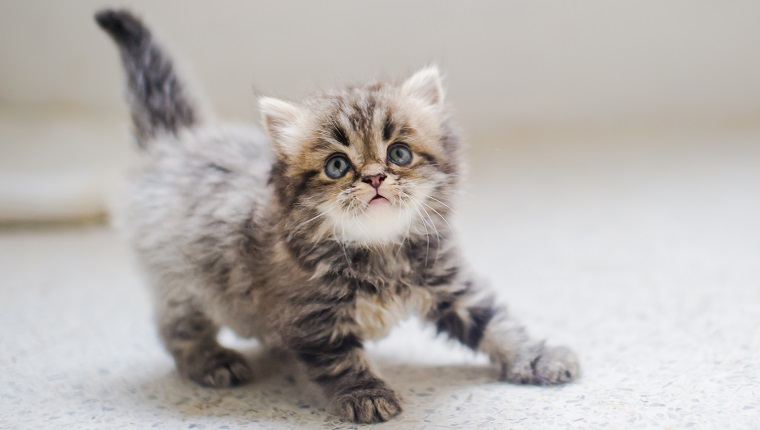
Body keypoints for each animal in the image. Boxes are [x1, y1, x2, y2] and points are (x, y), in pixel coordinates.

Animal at [96, 9, 580, 424]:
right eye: (337, 166)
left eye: (398, 154)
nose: (374, 178)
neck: (379, 250)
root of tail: (178, 141)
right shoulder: (314, 316)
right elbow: (341, 360)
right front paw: (367, 394)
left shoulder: (449, 282)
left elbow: (496, 323)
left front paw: (538, 357)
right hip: (184, 281)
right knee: (174, 327)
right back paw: (211, 359)